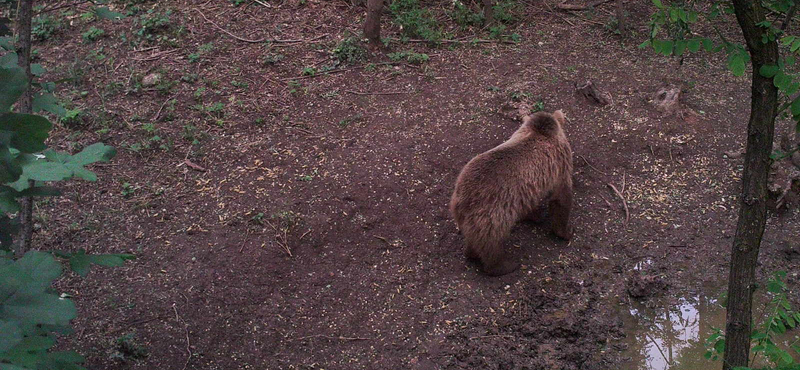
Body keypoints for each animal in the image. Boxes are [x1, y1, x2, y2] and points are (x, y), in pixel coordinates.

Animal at [450, 111, 576, 276]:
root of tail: (461, 199)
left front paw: (536, 215)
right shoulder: (559, 164)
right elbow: (561, 198)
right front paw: (566, 231)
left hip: (471, 216)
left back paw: (471, 253)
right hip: (492, 213)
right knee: (492, 241)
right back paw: (505, 265)